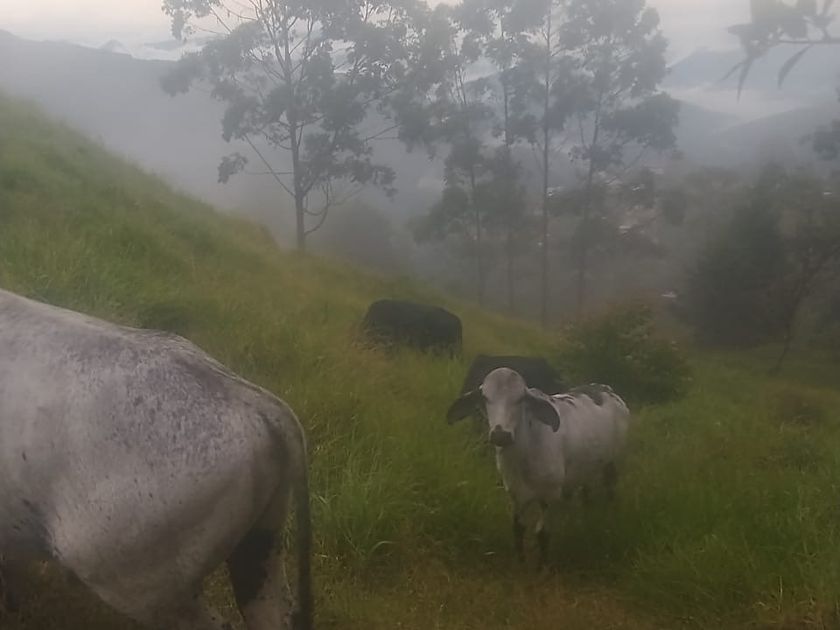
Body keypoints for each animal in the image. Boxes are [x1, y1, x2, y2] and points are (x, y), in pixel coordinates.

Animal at [446, 368, 630, 566]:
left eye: (520, 398)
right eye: (485, 397)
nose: (500, 435)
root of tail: (607, 389)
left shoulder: (549, 496)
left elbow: (542, 533)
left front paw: (542, 567)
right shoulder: (515, 494)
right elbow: (518, 529)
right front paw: (520, 562)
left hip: (613, 463)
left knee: (610, 490)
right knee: (585, 491)